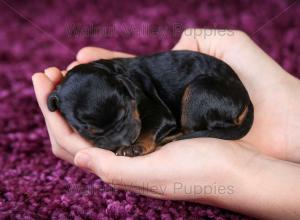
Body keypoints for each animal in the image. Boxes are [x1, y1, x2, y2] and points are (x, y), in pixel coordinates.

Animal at [47, 50, 253, 156]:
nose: (124, 141)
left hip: (198, 91)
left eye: (125, 114)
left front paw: (135, 147)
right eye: (88, 131)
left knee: (192, 129)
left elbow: (150, 127)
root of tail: (246, 98)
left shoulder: (160, 113)